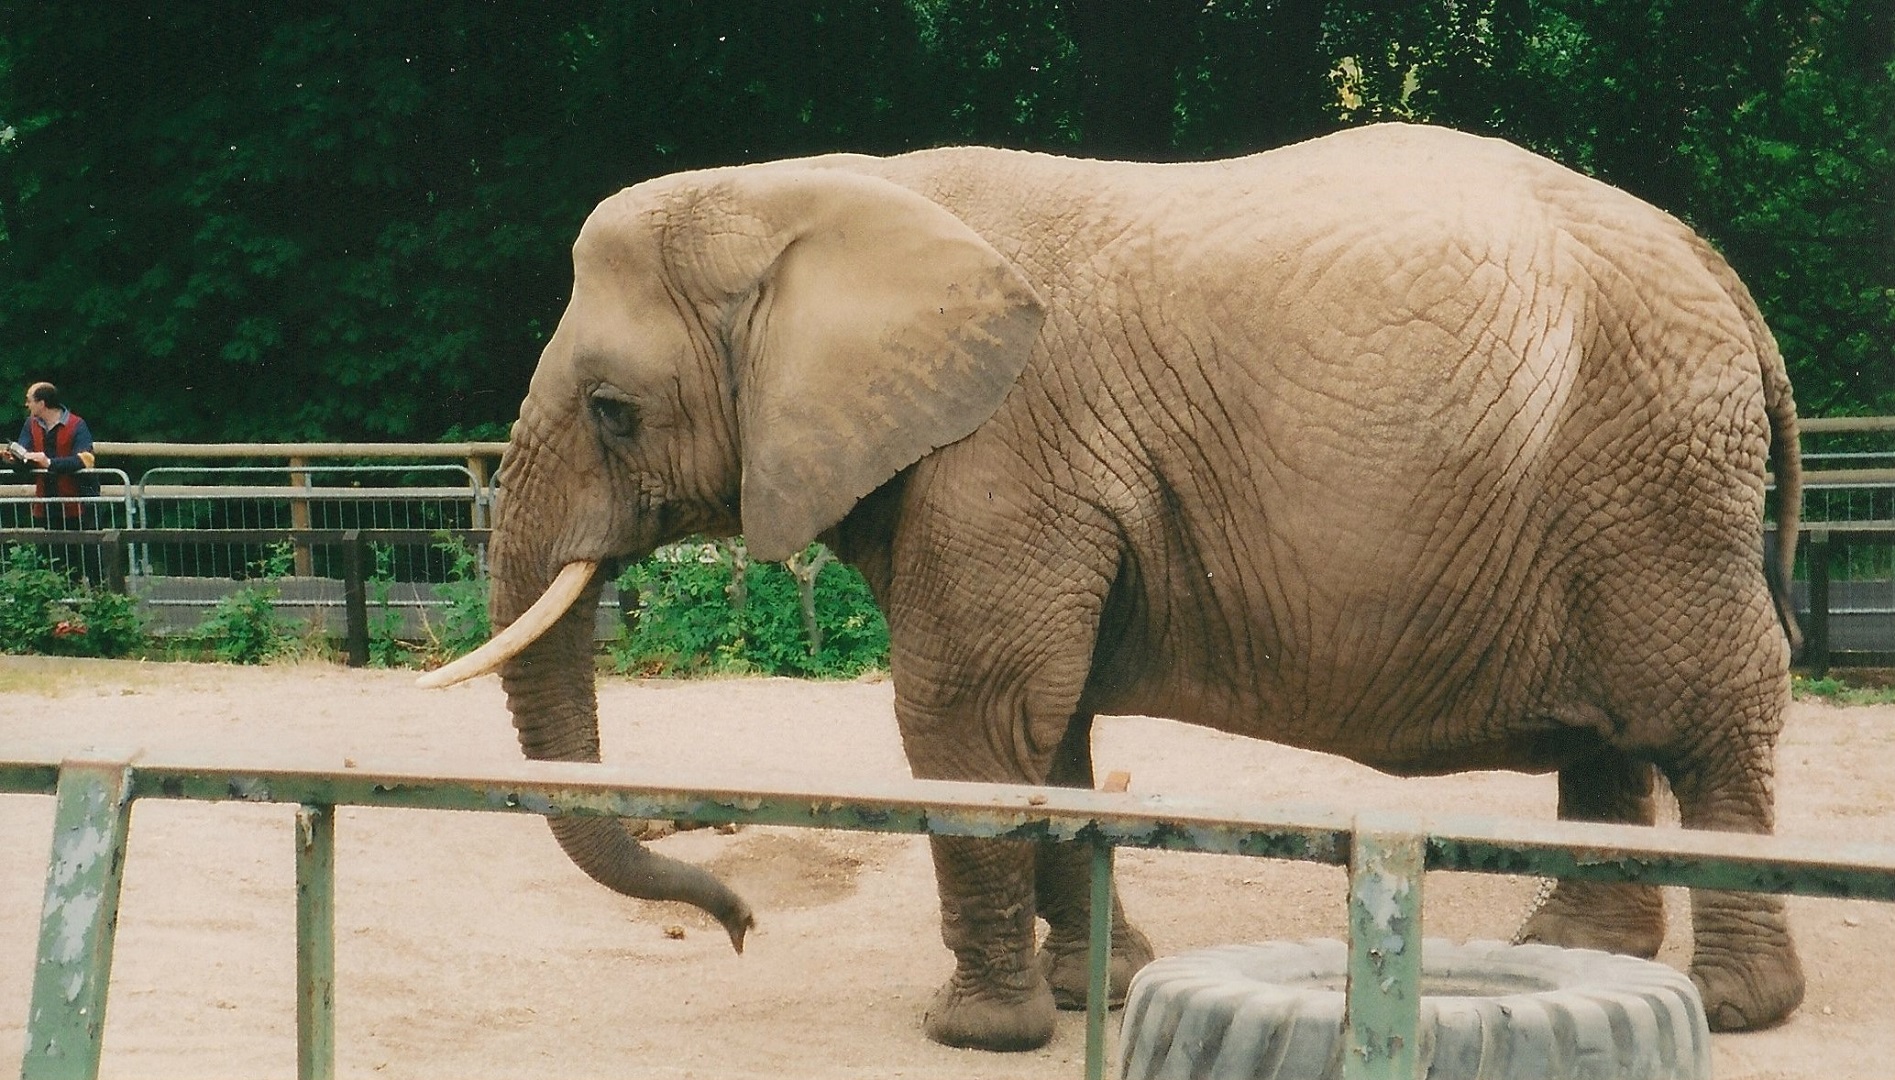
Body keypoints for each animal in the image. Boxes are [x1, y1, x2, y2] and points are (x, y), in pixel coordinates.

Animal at [422, 122, 1805, 1051]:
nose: (738, 927)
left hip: (1654, 482)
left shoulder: (1000, 451)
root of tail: (1719, 270)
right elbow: (1049, 732)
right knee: (1618, 733)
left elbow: (966, 718)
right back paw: (1568, 958)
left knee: (1709, 716)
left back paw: (1733, 1007)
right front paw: (1105, 991)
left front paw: (973, 1033)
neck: (816, 193)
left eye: (612, 411)